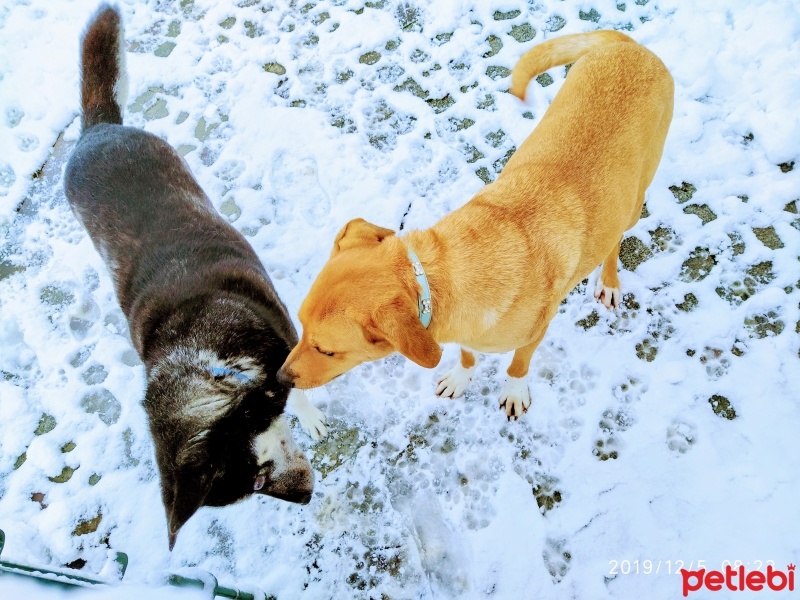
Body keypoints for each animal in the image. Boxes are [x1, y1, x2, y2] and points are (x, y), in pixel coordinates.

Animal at [62, 3, 324, 548]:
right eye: (255, 488)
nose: (308, 500)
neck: (211, 363)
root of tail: (95, 131)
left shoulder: (286, 337)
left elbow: (304, 382)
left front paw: (310, 415)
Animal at [278, 30, 672, 420]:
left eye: (327, 350)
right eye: (299, 325)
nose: (281, 379)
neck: (435, 279)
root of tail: (628, 46)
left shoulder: (536, 331)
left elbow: (518, 365)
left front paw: (514, 391)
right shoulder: (465, 333)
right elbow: (467, 355)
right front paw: (460, 377)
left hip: (633, 201)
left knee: (616, 239)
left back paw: (609, 281)